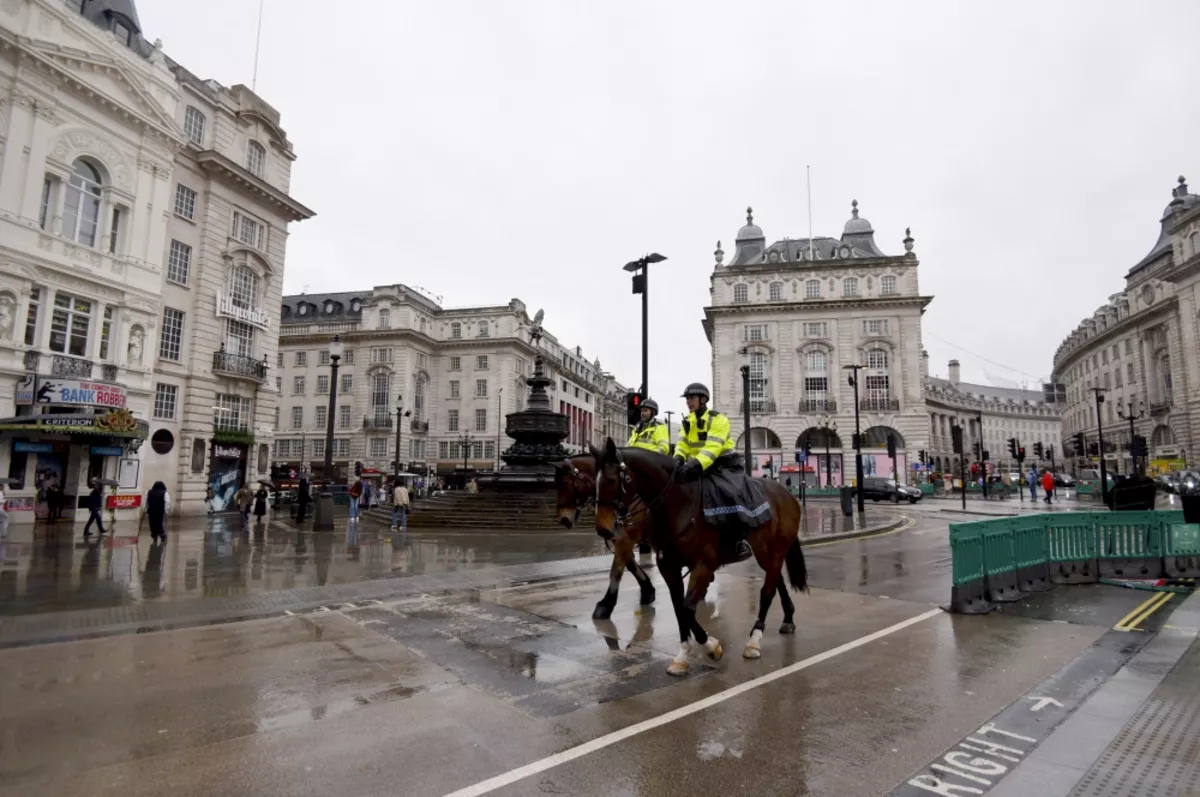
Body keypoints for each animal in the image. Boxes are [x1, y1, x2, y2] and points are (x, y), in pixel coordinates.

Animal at [552, 458, 657, 619]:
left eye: (564, 483)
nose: (563, 519)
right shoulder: (619, 538)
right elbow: (630, 564)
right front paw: (648, 590)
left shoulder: (624, 539)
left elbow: (616, 571)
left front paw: (605, 605)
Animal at [590, 439, 806, 676]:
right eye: (594, 481)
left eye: (611, 480)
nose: (603, 528)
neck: (679, 504)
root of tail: (787, 494)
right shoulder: (669, 567)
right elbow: (679, 609)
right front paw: (683, 656)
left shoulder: (703, 565)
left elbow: (687, 609)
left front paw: (712, 647)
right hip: (765, 553)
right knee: (777, 582)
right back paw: (788, 619)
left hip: (774, 551)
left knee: (767, 592)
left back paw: (754, 642)